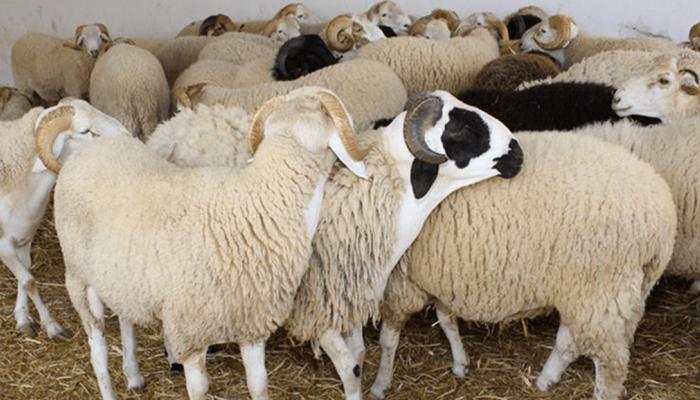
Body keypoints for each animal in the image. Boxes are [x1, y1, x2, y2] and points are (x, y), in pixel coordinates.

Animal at [37, 87, 369, 400]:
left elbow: (259, 385)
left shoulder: (251, 322)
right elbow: (199, 389)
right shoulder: (190, 331)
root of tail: (87, 153)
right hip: (78, 278)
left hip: (120, 277)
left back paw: (133, 375)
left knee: (125, 320)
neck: (260, 205)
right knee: (98, 350)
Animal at [370, 131, 677, 400]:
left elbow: (388, 339)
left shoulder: (400, 284)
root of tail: (663, 214)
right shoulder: (439, 279)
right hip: (599, 292)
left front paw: (380, 384)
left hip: (600, 288)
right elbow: (447, 320)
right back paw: (545, 380)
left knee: (611, 365)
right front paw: (460, 363)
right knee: (571, 341)